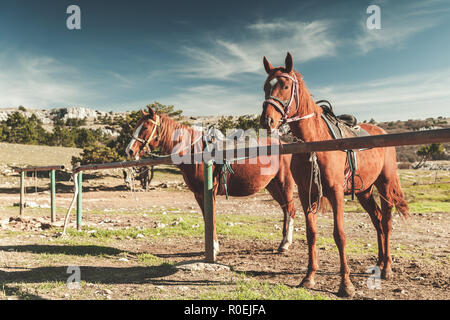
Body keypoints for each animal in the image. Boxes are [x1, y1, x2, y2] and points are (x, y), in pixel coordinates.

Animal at [125, 106, 298, 258]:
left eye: (145, 127)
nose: (129, 150)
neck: (195, 152)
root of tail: (285, 143)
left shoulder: (210, 192)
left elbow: (212, 218)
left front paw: (214, 250)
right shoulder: (198, 194)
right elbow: (206, 219)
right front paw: (212, 248)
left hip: (284, 183)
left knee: (290, 209)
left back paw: (285, 244)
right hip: (272, 186)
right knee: (285, 209)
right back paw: (282, 242)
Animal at [258, 53, 410, 298]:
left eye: (285, 85)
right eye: (265, 86)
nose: (267, 121)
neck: (315, 143)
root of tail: (382, 132)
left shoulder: (337, 193)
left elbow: (339, 235)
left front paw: (345, 284)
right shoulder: (306, 194)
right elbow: (311, 234)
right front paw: (309, 277)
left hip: (385, 185)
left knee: (386, 222)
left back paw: (387, 267)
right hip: (364, 191)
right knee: (377, 219)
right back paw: (378, 263)